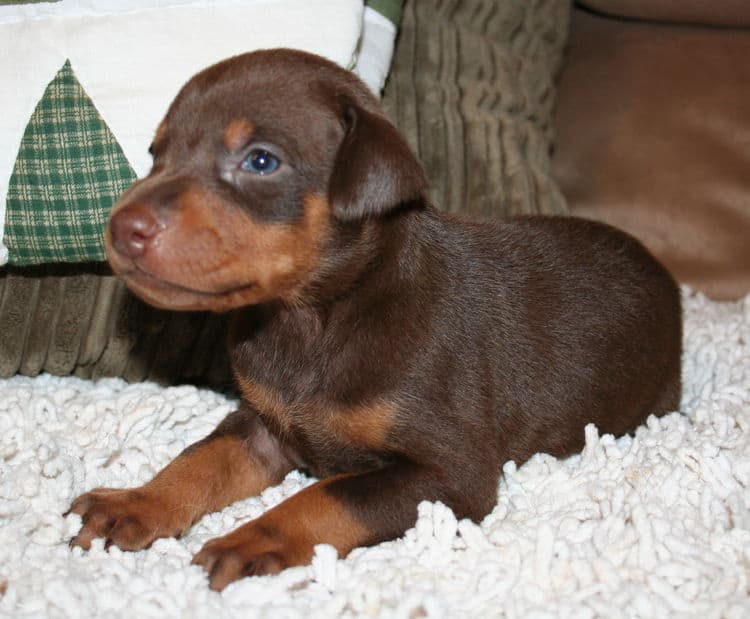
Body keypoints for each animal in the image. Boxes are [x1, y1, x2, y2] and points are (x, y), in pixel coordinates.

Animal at [67, 48, 684, 592]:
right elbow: (198, 460)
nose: (120, 227)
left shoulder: (450, 473)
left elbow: (329, 494)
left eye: (261, 160)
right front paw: (135, 502)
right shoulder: (264, 424)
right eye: (156, 153)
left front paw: (254, 539)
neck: (310, 319)